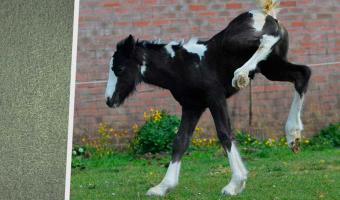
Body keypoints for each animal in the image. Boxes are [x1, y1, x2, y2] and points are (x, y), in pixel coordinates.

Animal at [104, 0, 310, 196]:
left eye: (119, 69)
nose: (109, 100)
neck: (182, 66)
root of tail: (267, 14)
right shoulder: (192, 106)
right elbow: (180, 141)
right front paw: (162, 187)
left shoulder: (215, 98)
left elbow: (225, 133)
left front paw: (235, 183)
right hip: (271, 67)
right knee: (302, 74)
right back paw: (293, 135)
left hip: (237, 43)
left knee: (267, 40)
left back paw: (241, 75)